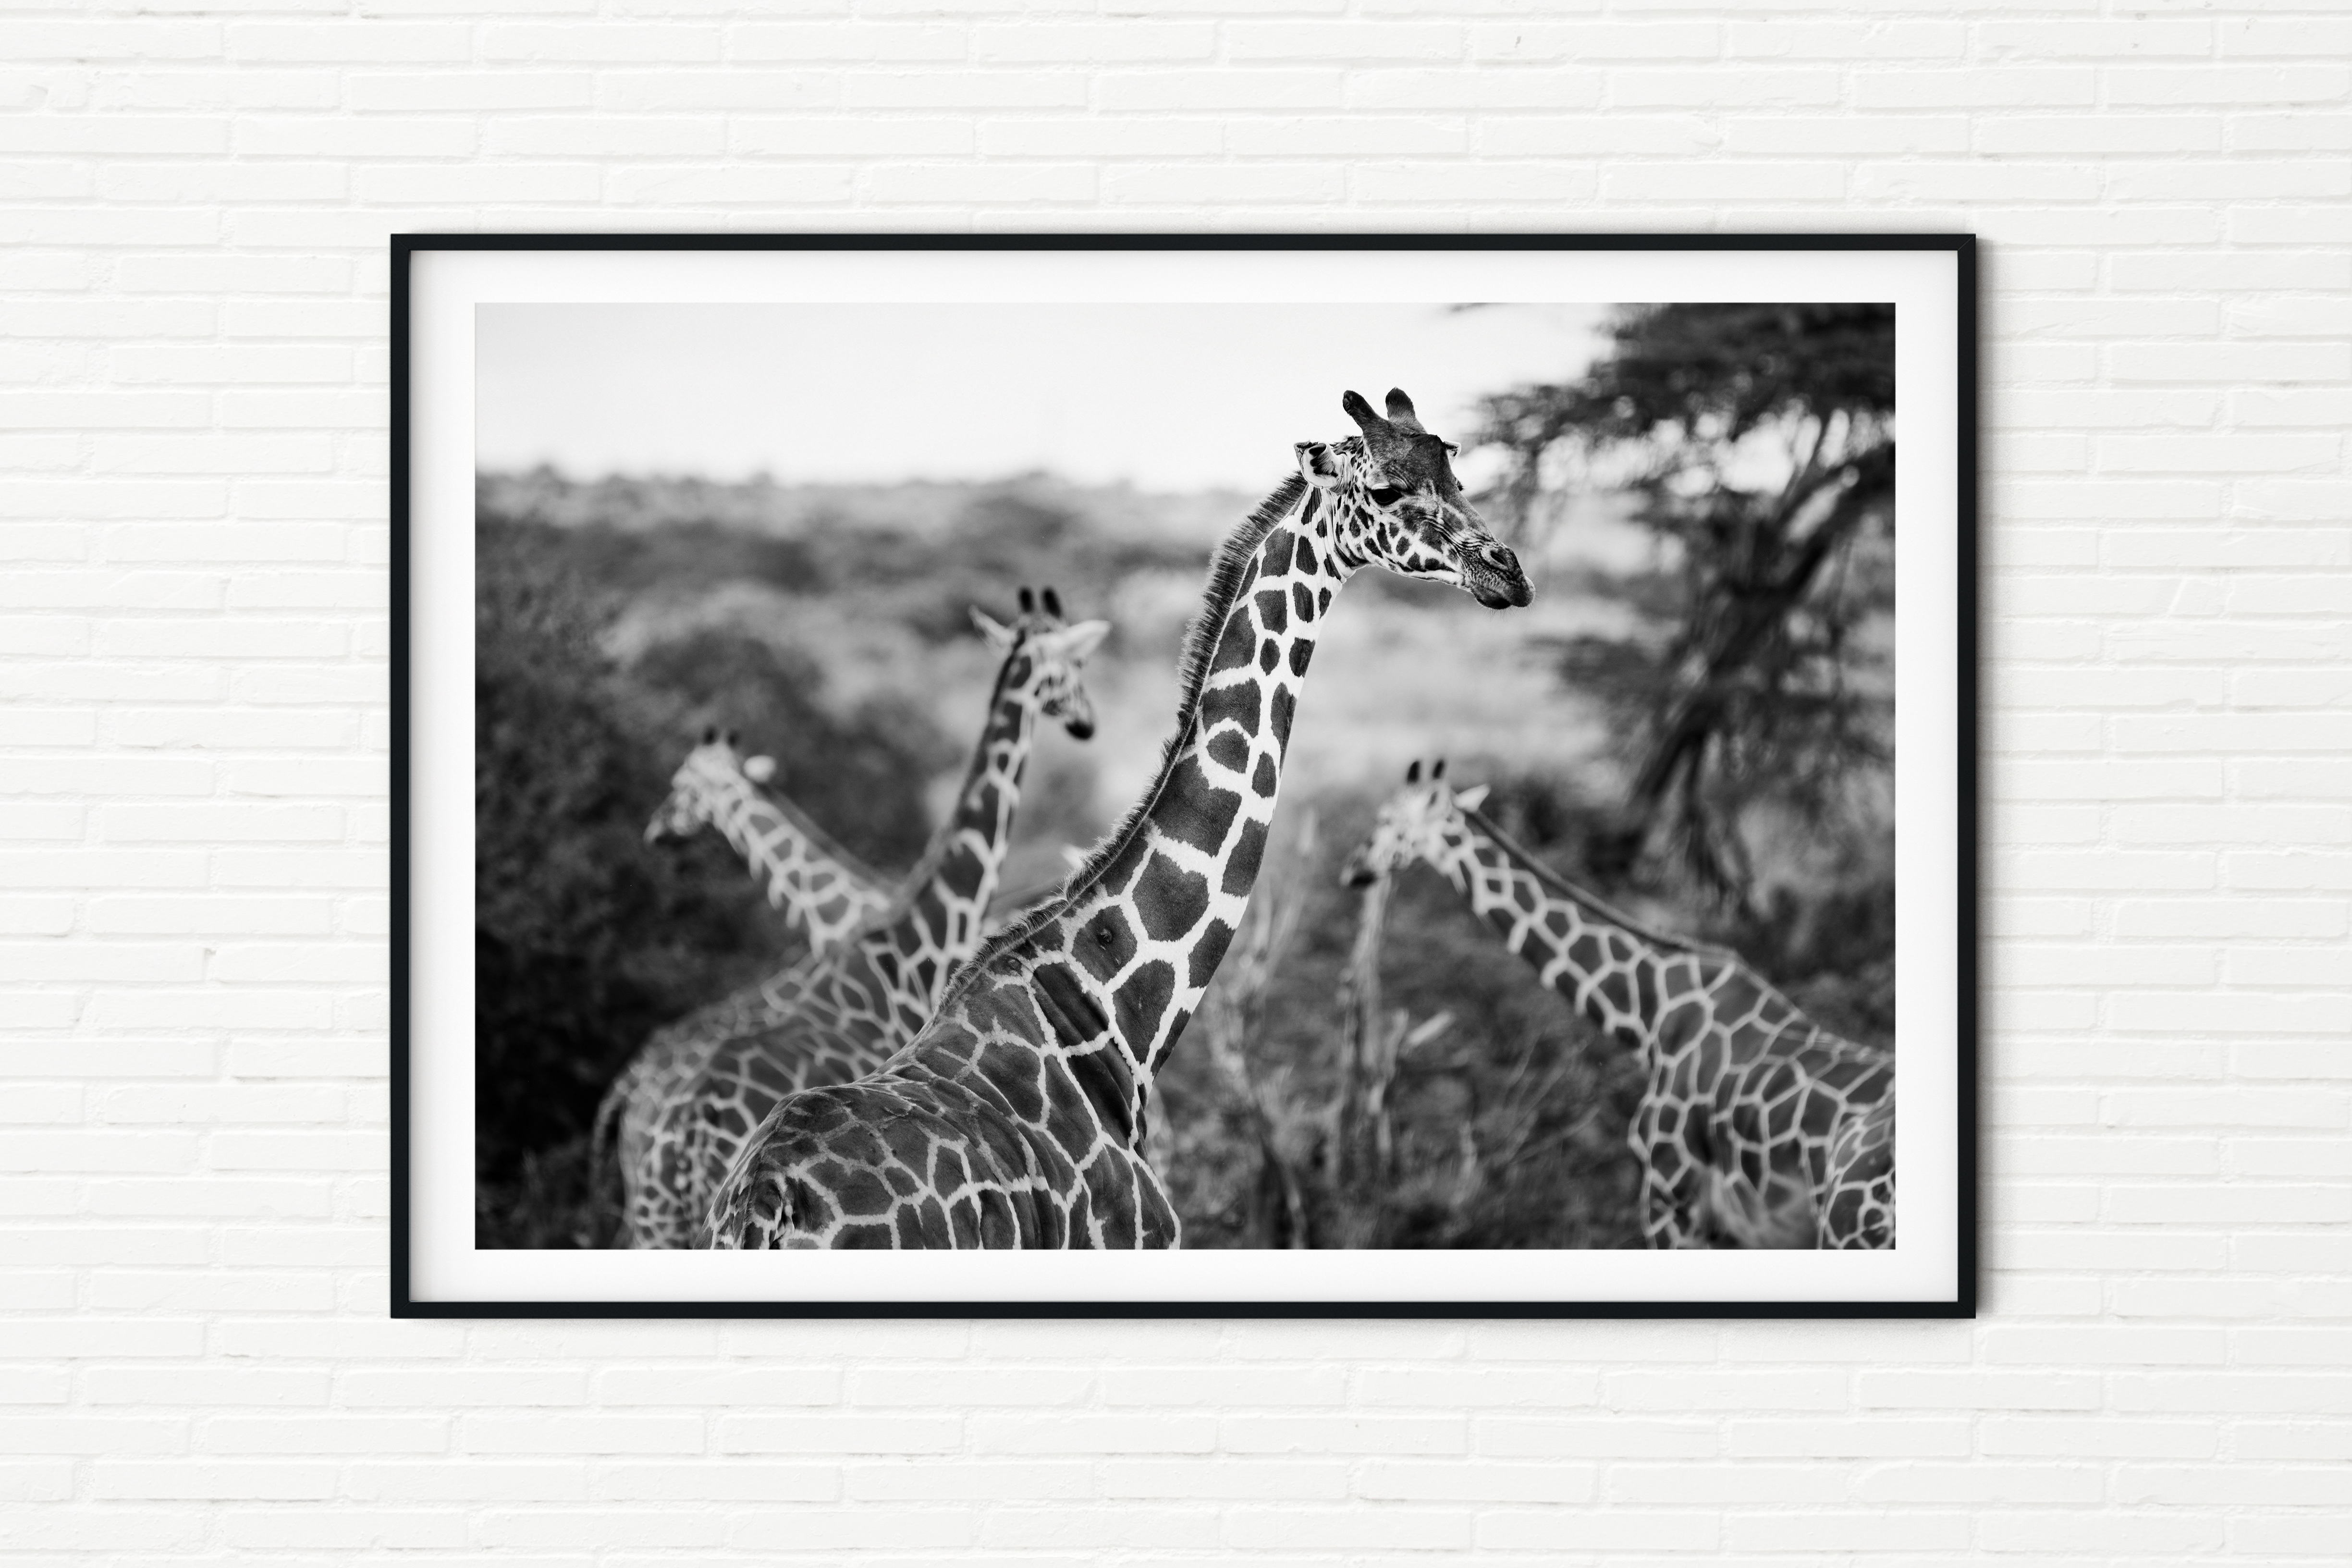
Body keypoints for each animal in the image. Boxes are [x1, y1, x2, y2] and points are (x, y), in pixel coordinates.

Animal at [704, 388, 1533, 1249]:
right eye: (1385, 491)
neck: (1118, 1021)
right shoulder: (1141, 1238)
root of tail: (763, 1206)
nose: (1506, 572)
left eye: (1456, 471)